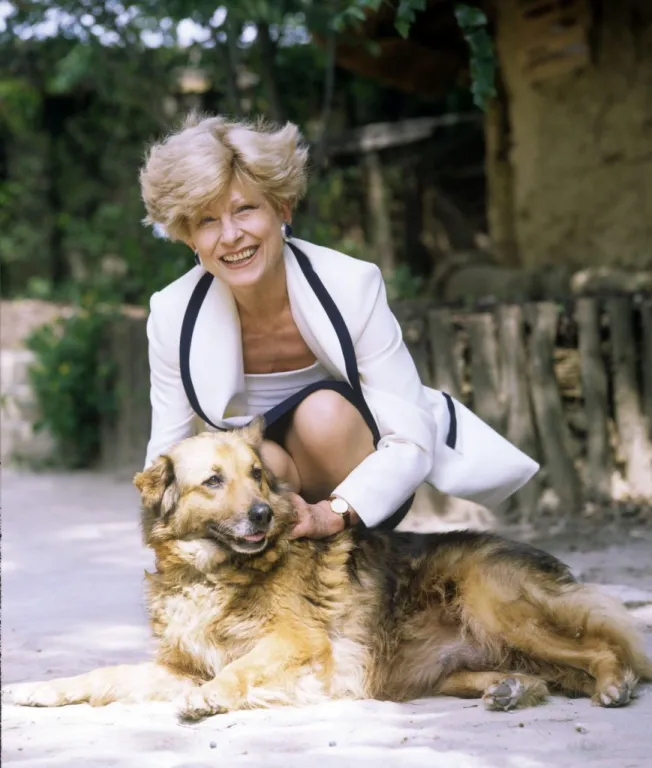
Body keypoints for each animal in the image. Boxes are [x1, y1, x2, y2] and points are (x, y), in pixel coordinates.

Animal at [8, 421, 652, 720]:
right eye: (214, 481)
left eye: (258, 475)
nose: (265, 514)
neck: (211, 573)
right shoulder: (177, 666)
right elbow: (102, 676)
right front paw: (35, 689)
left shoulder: (295, 641)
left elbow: (241, 668)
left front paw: (213, 698)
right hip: (432, 668)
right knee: (544, 676)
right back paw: (512, 689)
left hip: (497, 610)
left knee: (602, 650)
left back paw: (611, 682)